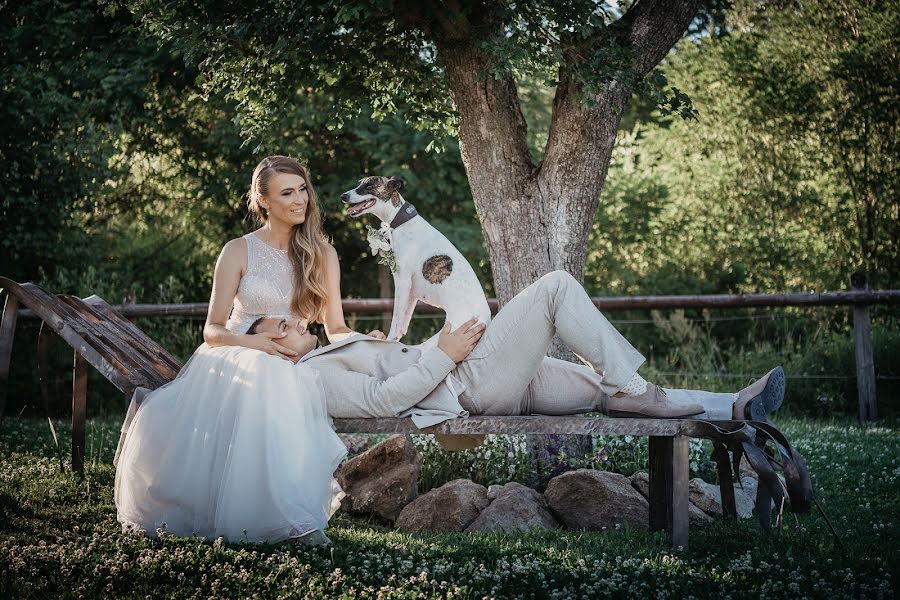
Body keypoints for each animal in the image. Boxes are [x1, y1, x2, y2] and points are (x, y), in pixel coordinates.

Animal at [342, 175, 488, 342]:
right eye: (358, 184)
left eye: (369, 185)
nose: (343, 196)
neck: (401, 222)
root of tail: (486, 320)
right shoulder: (411, 293)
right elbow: (402, 324)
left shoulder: (402, 282)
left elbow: (396, 319)